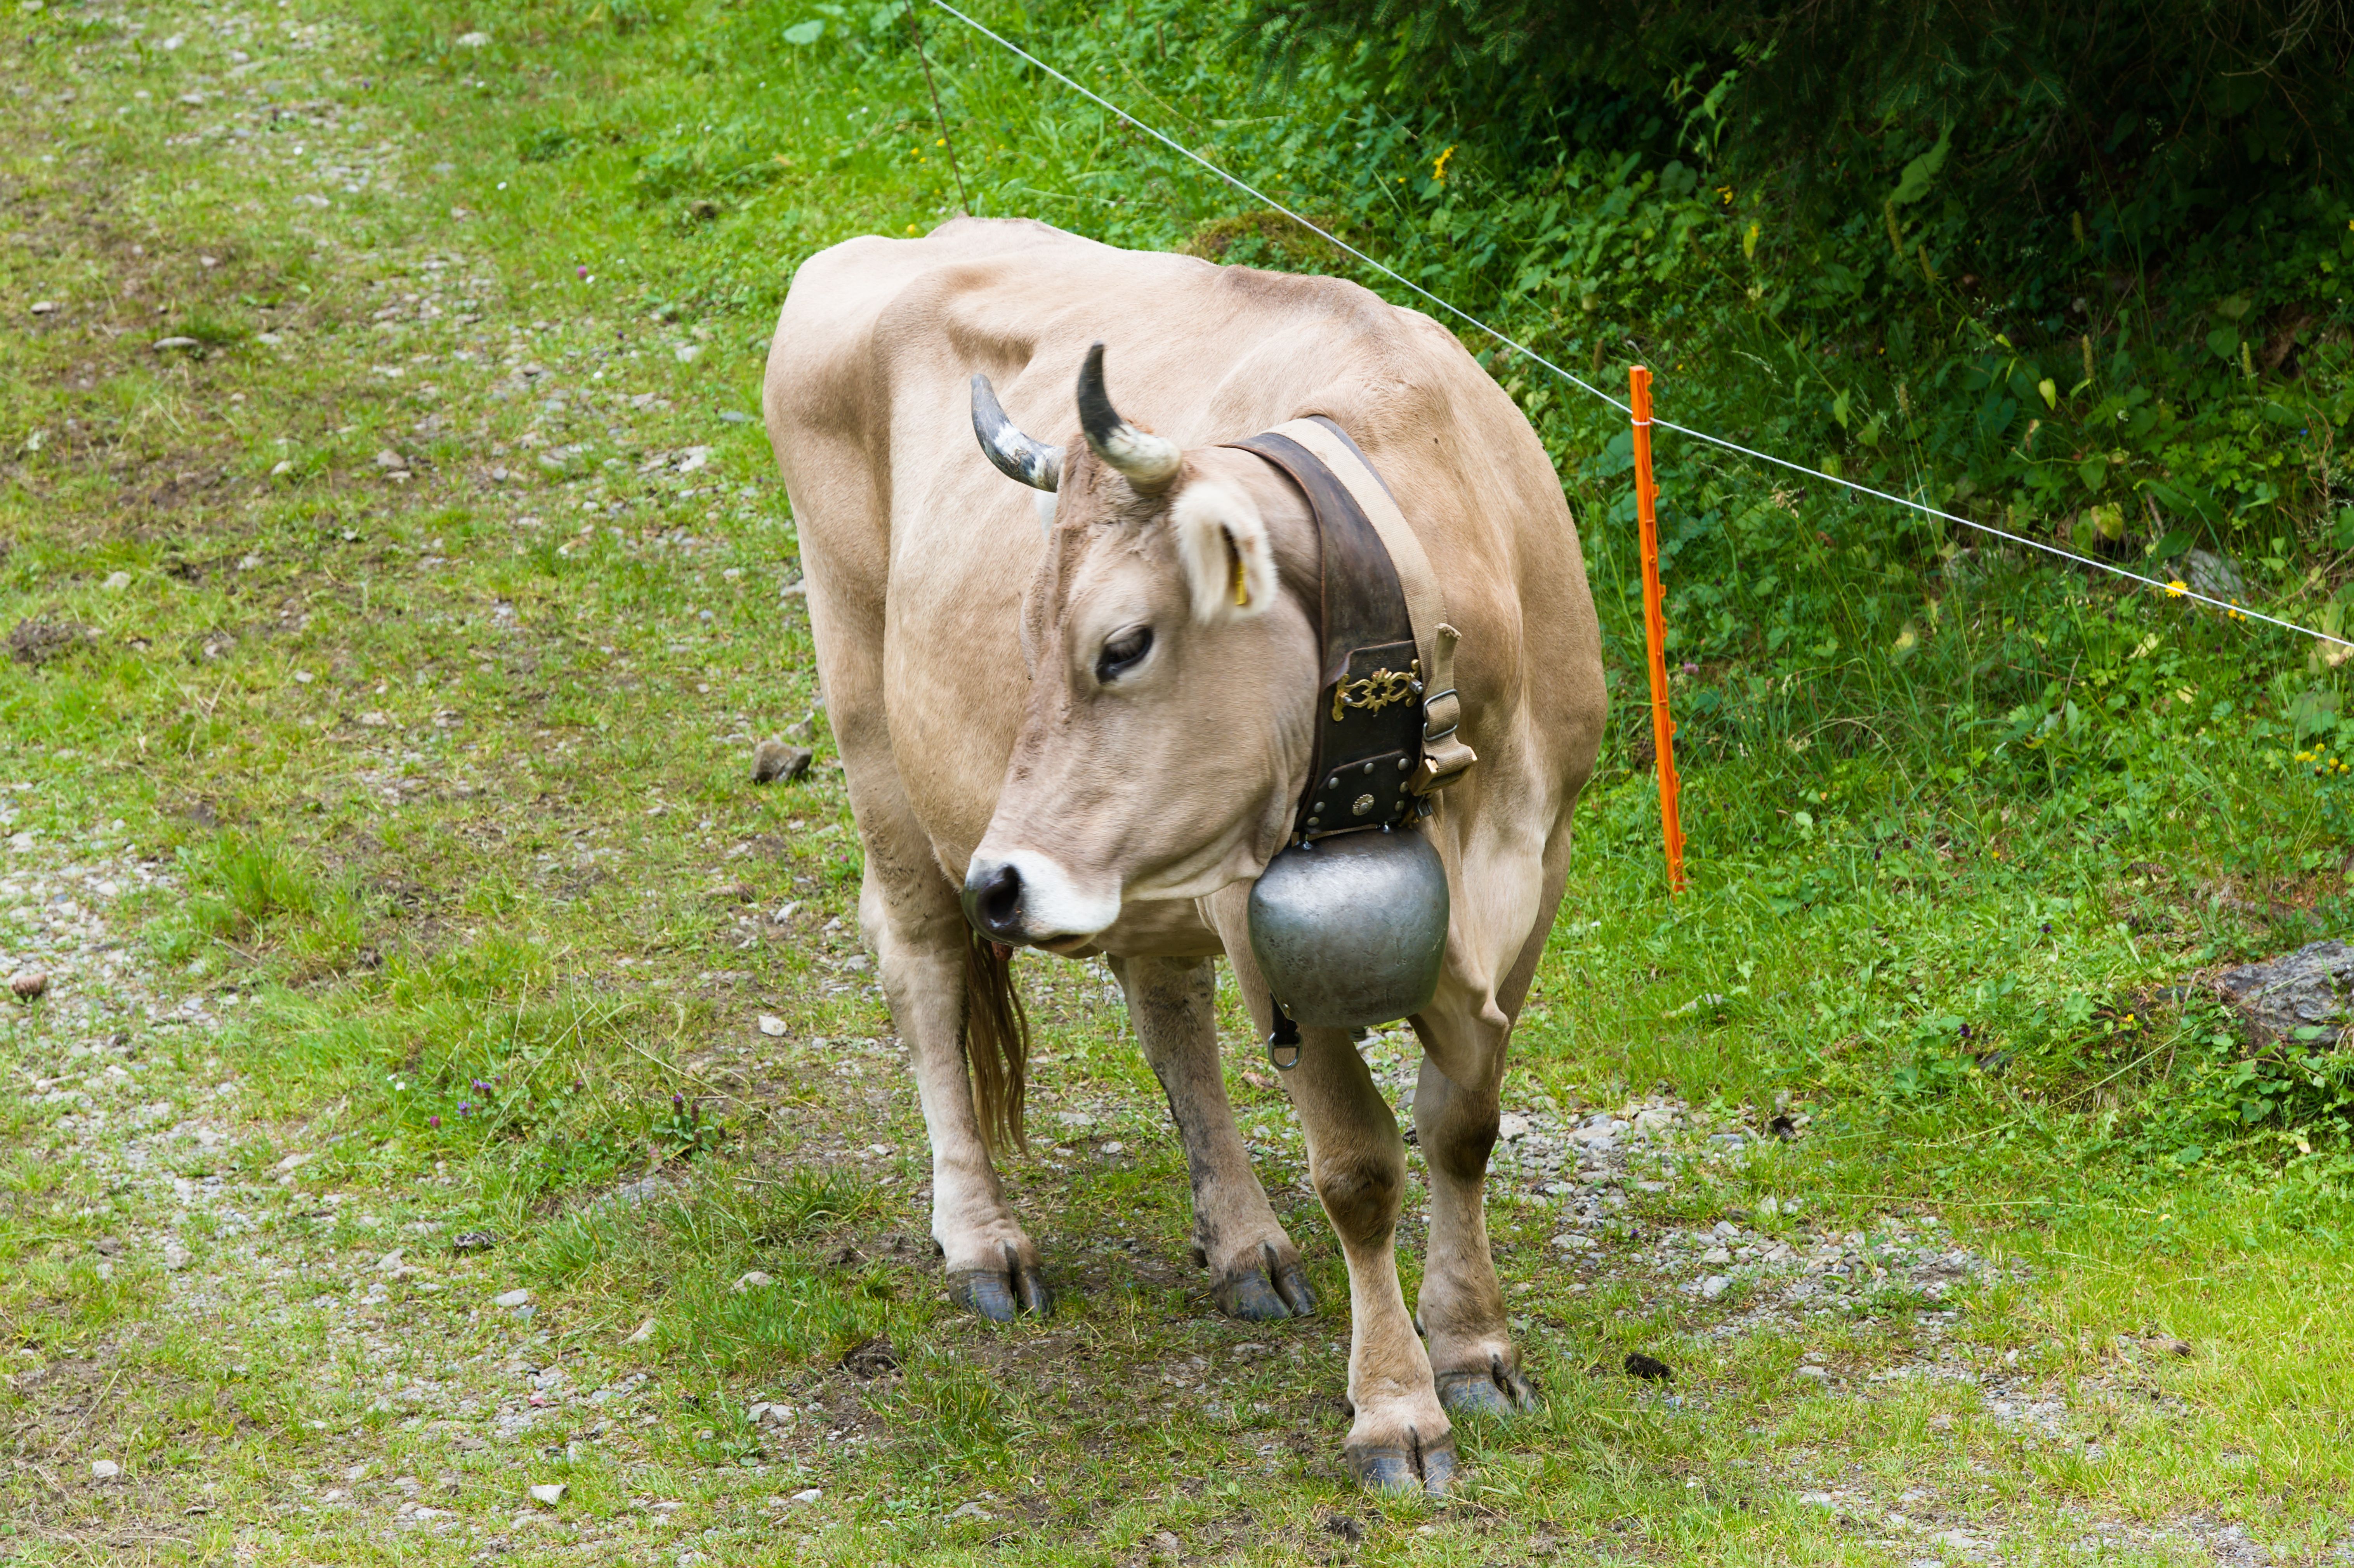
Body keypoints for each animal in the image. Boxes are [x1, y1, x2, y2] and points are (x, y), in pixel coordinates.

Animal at [763, 217, 1605, 1495]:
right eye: (1031, 638)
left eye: (1121, 646)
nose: (1003, 880)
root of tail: (894, 240)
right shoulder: (1262, 915)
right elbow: (1359, 1164)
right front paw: (1396, 1409)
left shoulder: (1539, 866)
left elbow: (1461, 1124)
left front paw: (1475, 1350)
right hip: (870, 723)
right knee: (921, 963)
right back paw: (982, 1238)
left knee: (1163, 1002)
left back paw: (1244, 1241)